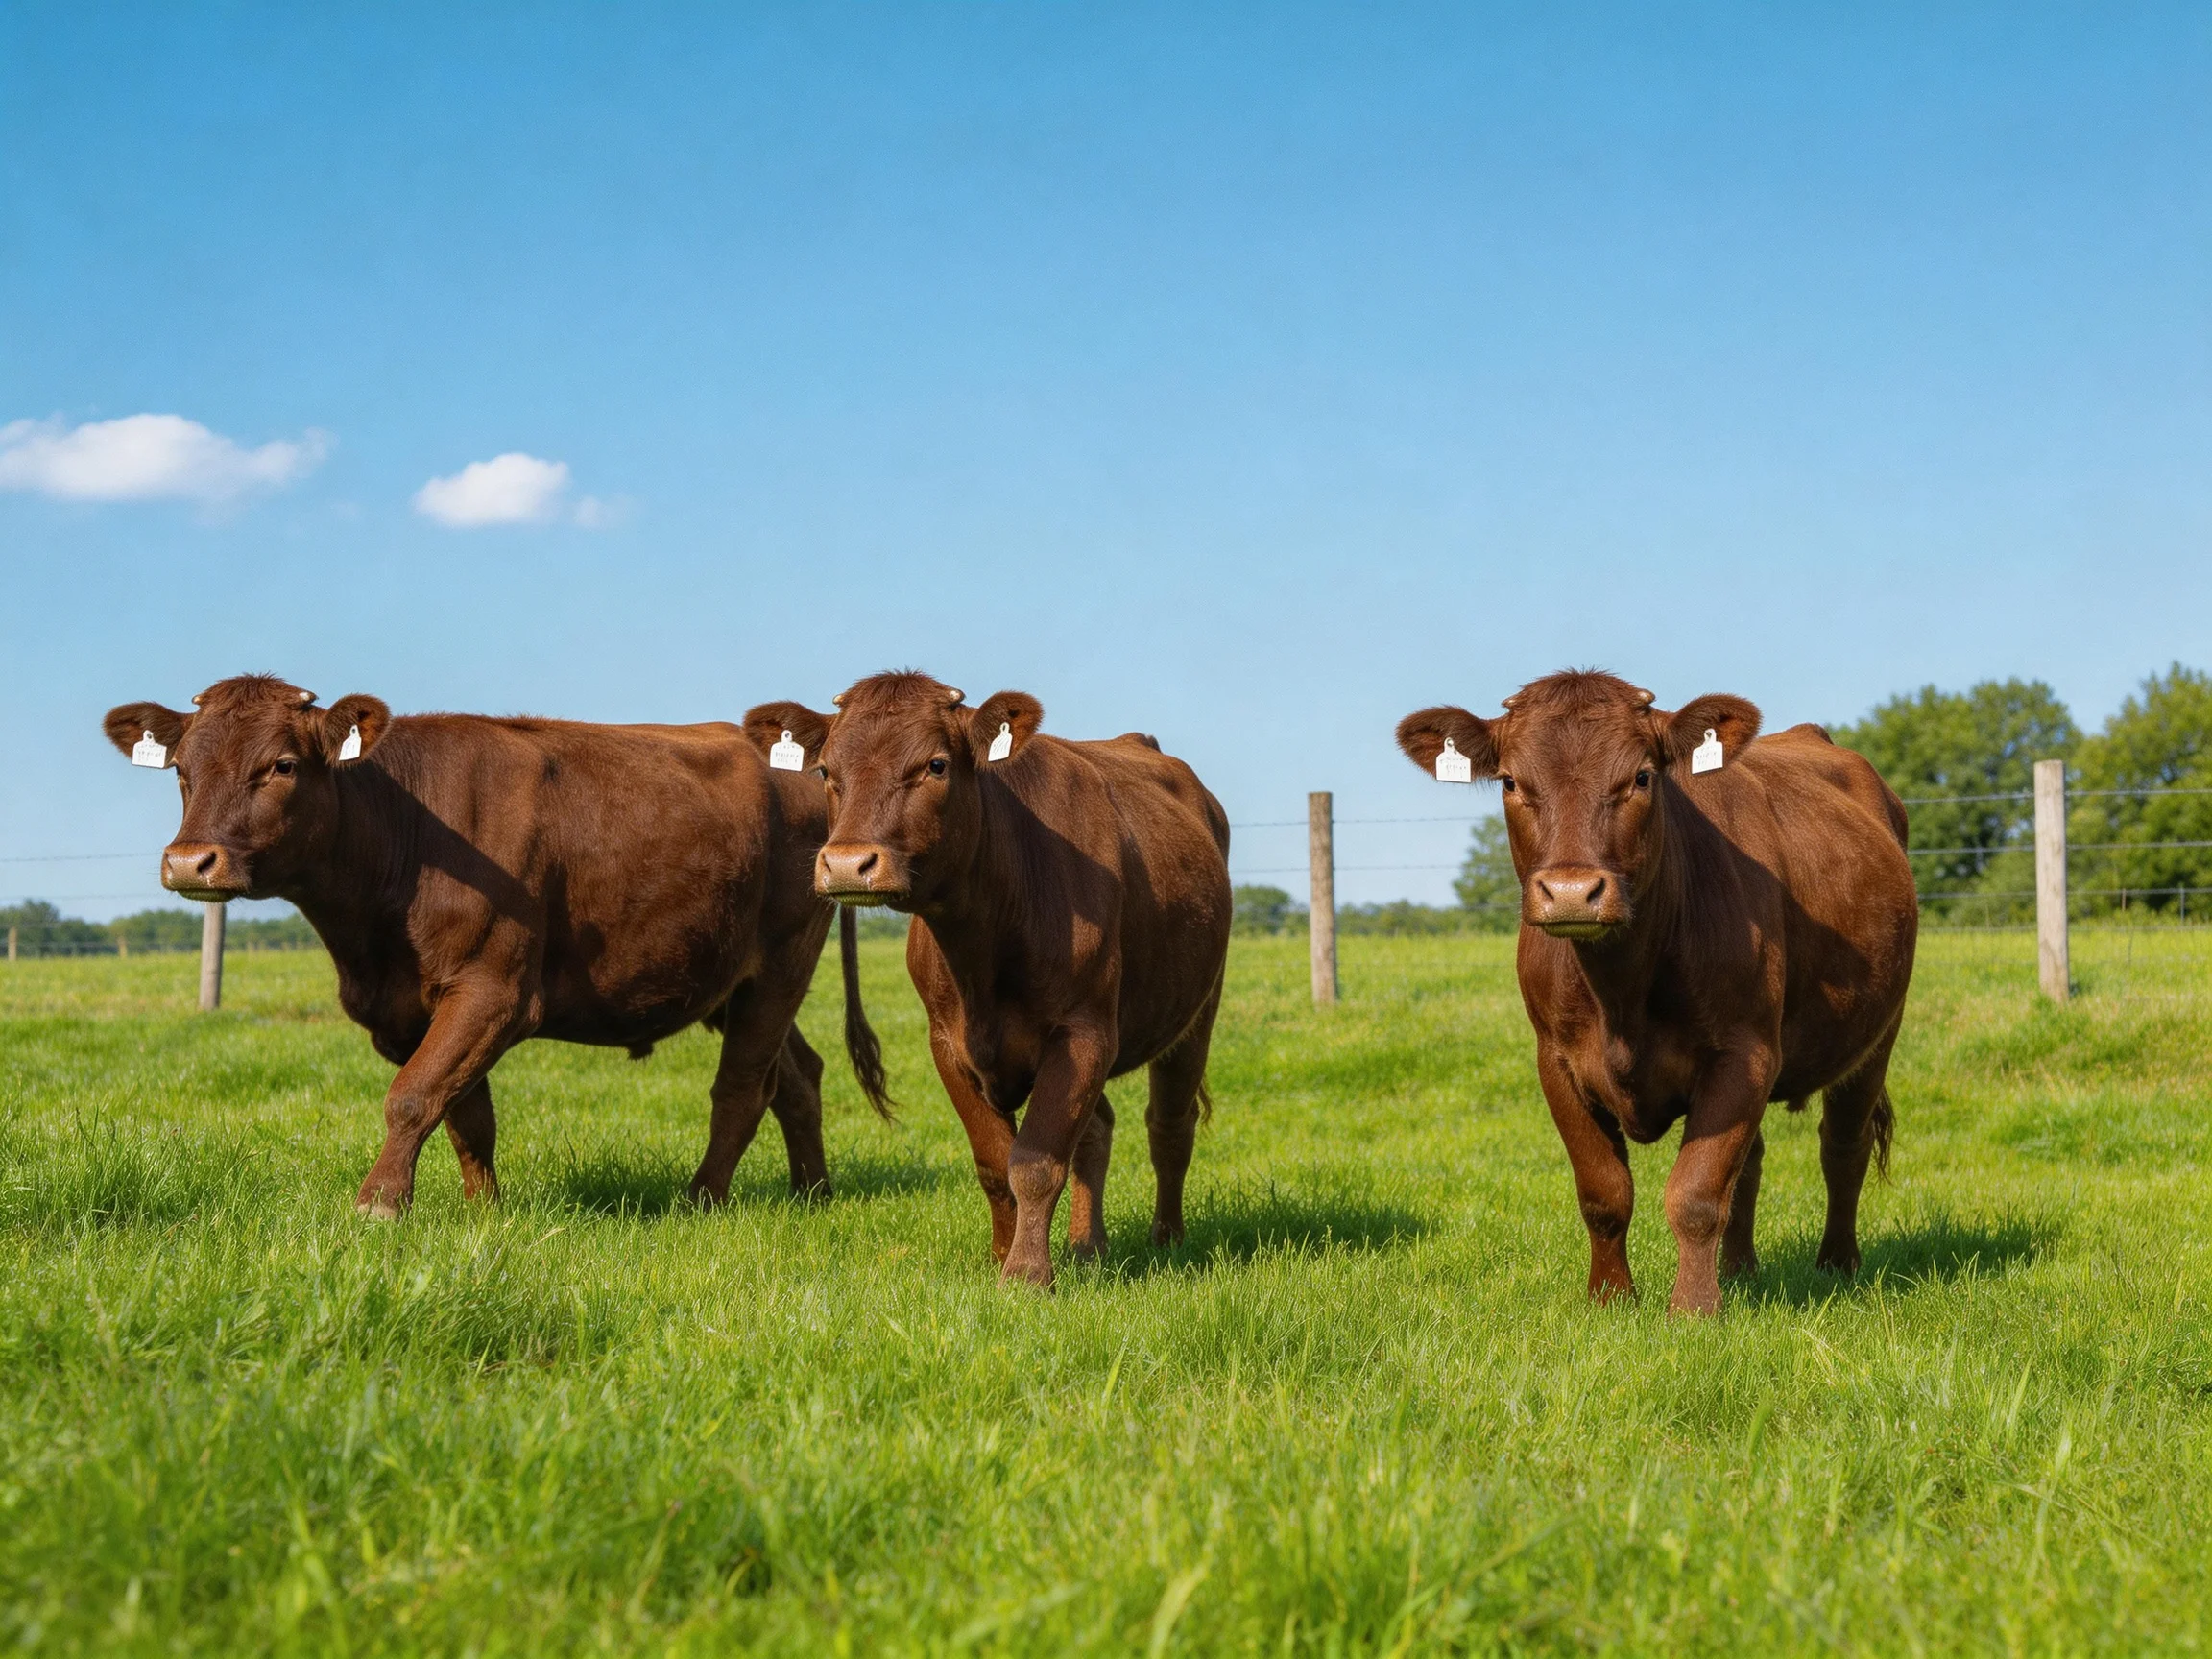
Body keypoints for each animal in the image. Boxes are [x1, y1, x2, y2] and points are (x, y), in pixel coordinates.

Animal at [102, 675, 888, 1215]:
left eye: (282, 765)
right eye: (181, 770)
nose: (190, 862)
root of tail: (814, 768)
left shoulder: (497, 989)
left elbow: (413, 1096)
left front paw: (378, 1205)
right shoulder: (412, 1010)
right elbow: (464, 1114)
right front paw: (485, 1211)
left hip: (781, 962)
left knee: (742, 1087)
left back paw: (701, 1199)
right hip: (726, 976)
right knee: (797, 1076)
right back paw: (813, 1193)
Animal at [802, 671, 1232, 1289]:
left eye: (935, 765)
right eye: (824, 771)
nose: (846, 863)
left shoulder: (1083, 1033)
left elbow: (1034, 1160)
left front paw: (1026, 1275)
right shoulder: (947, 1043)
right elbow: (994, 1161)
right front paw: (1000, 1257)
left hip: (1196, 1013)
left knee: (1170, 1126)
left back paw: (1167, 1239)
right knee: (1098, 1128)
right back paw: (1087, 1245)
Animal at [1396, 670, 1917, 1315]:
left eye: (1642, 776)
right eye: (1512, 781)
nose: (1572, 892)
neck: (1621, 994)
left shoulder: (1743, 1053)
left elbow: (1695, 1192)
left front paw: (1693, 1310)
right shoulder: (1557, 1061)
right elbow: (1605, 1191)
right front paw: (1610, 1298)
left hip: (1877, 1034)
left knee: (1844, 1146)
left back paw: (1836, 1265)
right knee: (1752, 1162)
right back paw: (1739, 1269)